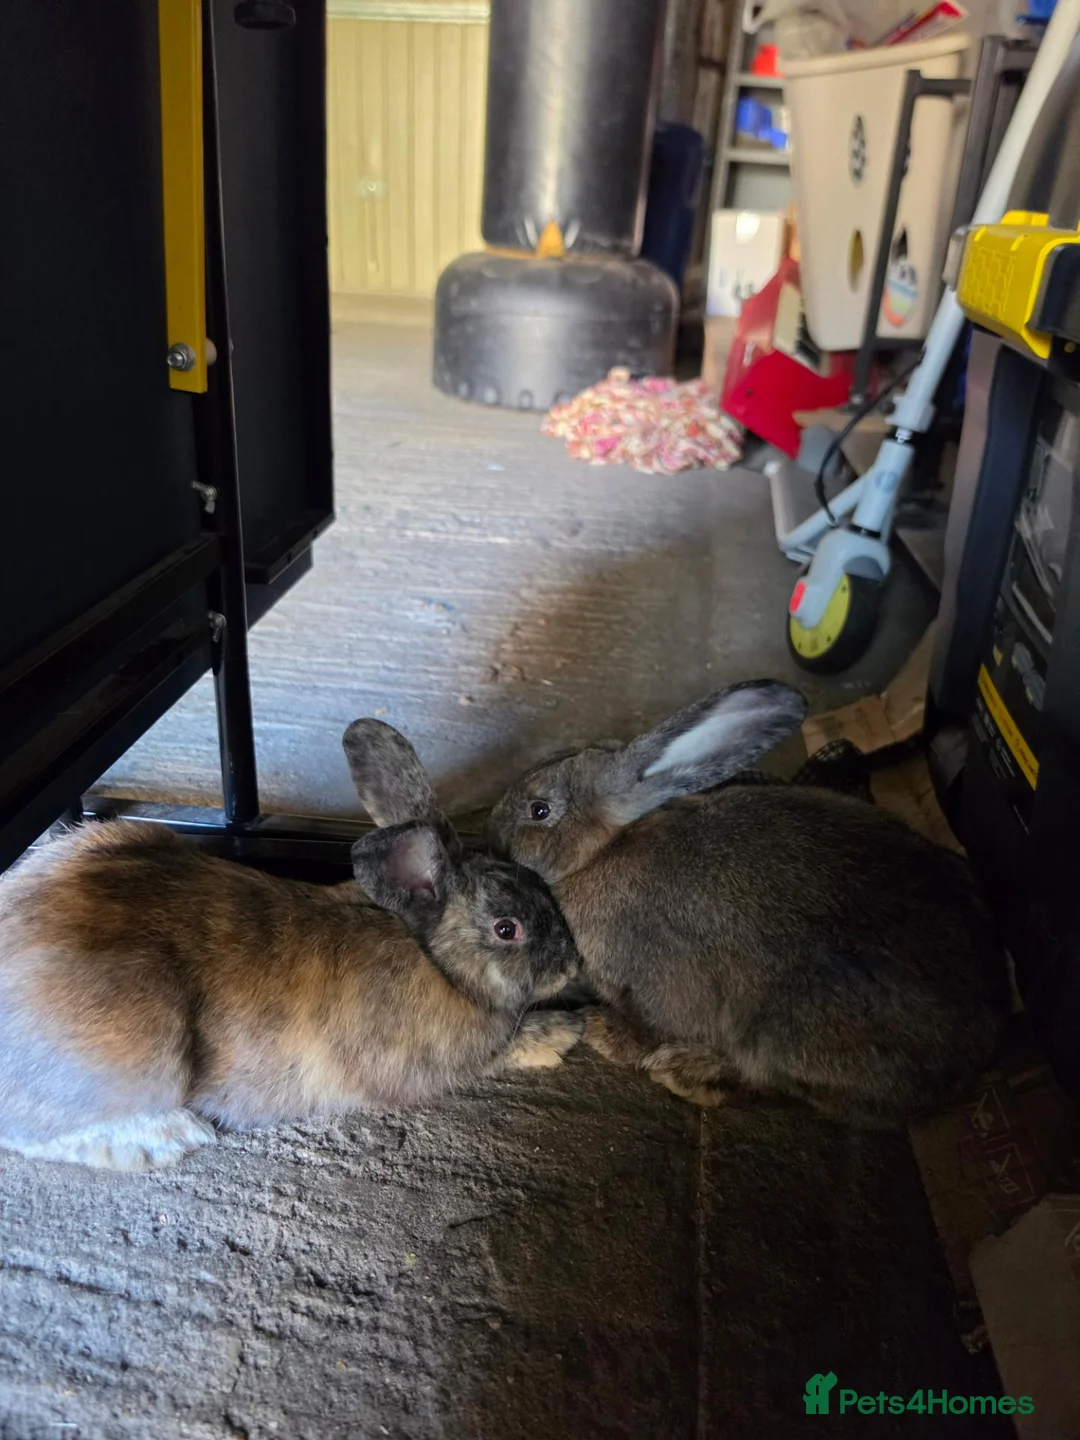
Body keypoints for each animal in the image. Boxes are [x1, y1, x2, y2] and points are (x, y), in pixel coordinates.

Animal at [0, 720, 582, 1170]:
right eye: (507, 929)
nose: (573, 965)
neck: (435, 960)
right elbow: (505, 1048)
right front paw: (563, 1031)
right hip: (142, 1045)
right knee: (33, 1133)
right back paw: (166, 1138)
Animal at [488, 681, 1011, 1128]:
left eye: (539, 811)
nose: (493, 827)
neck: (601, 853)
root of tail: (983, 1053)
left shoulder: (659, 984)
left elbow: (652, 1025)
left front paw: (603, 1034)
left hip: (786, 1032)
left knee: (775, 1085)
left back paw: (687, 1070)